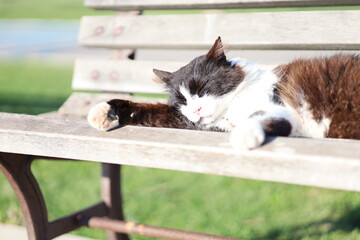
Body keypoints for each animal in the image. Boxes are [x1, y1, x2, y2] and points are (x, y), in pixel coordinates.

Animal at [88, 36, 360, 149]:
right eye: (182, 101)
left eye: (202, 88)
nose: (196, 109)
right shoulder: (194, 123)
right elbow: (147, 110)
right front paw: (104, 110)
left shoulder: (277, 108)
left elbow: (258, 117)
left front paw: (243, 137)